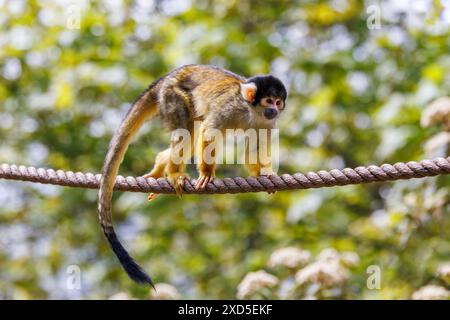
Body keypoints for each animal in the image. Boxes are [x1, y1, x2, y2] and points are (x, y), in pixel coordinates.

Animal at [99, 63, 288, 284]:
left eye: (278, 102)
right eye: (269, 100)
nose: (274, 109)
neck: (251, 110)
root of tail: (167, 78)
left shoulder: (267, 123)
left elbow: (255, 148)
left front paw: (265, 175)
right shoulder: (229, 106)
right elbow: (209, 132)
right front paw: (207, 173)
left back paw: (161, 166)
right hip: (172, 96)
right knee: (188, 131)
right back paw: (174, 173)